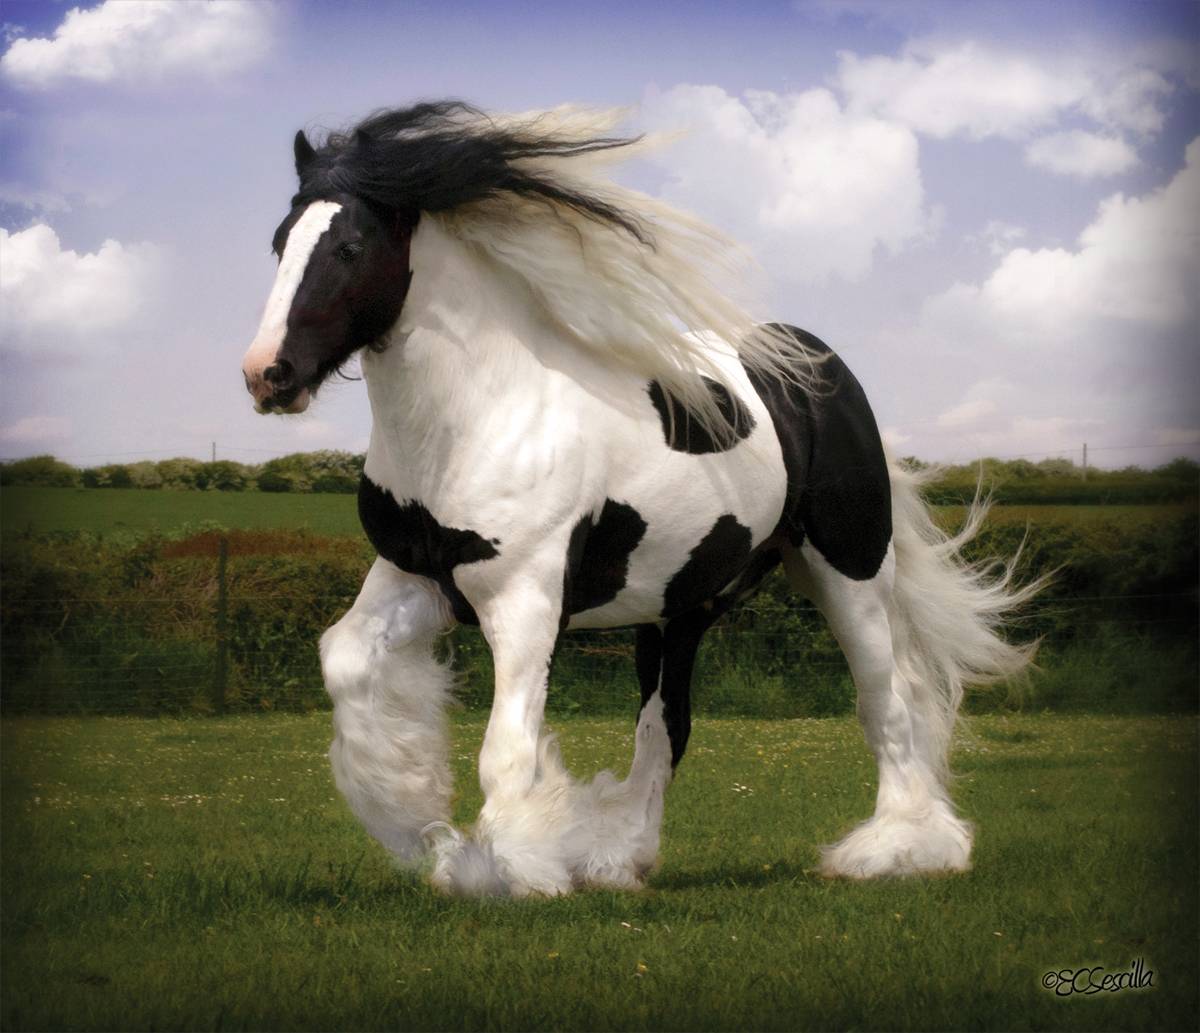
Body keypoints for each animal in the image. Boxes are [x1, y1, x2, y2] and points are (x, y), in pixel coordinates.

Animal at [240, 101, 1036, 897]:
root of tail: (818, 369)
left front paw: (512, 865)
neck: (483, 412)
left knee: (886, 703)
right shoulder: (418, 576)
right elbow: (348, 664)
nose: (267, 375)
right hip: (679, 607)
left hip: (849, 571)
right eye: (280, 242)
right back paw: (617, 856)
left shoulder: (525, 597)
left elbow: (507, 745)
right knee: (666, 725)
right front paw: (422, 823)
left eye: (349, 246)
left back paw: (899, 848)